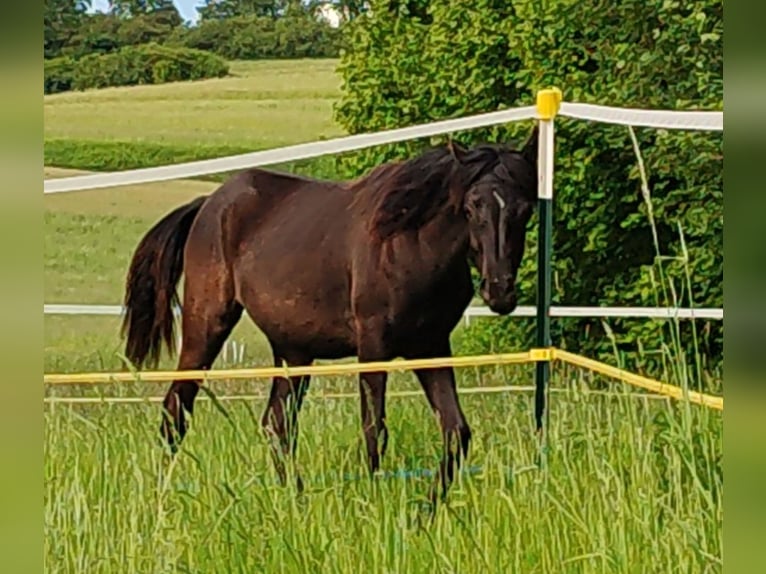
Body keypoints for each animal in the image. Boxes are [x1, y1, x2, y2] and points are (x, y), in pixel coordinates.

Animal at [121, 126, 540, 500]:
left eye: (525, 209)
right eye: (471, 206)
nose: (499, 291)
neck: (409, 242)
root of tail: (209, 203)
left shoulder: (431, 346)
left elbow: (456, 432)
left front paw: (426, 513)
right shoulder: (373, 348)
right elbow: (374, 430)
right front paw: (373, 508)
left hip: (293, 351)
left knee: (276, 426)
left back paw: (298, 501)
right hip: (206, 324)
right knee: (176, 412)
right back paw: (161, 500)